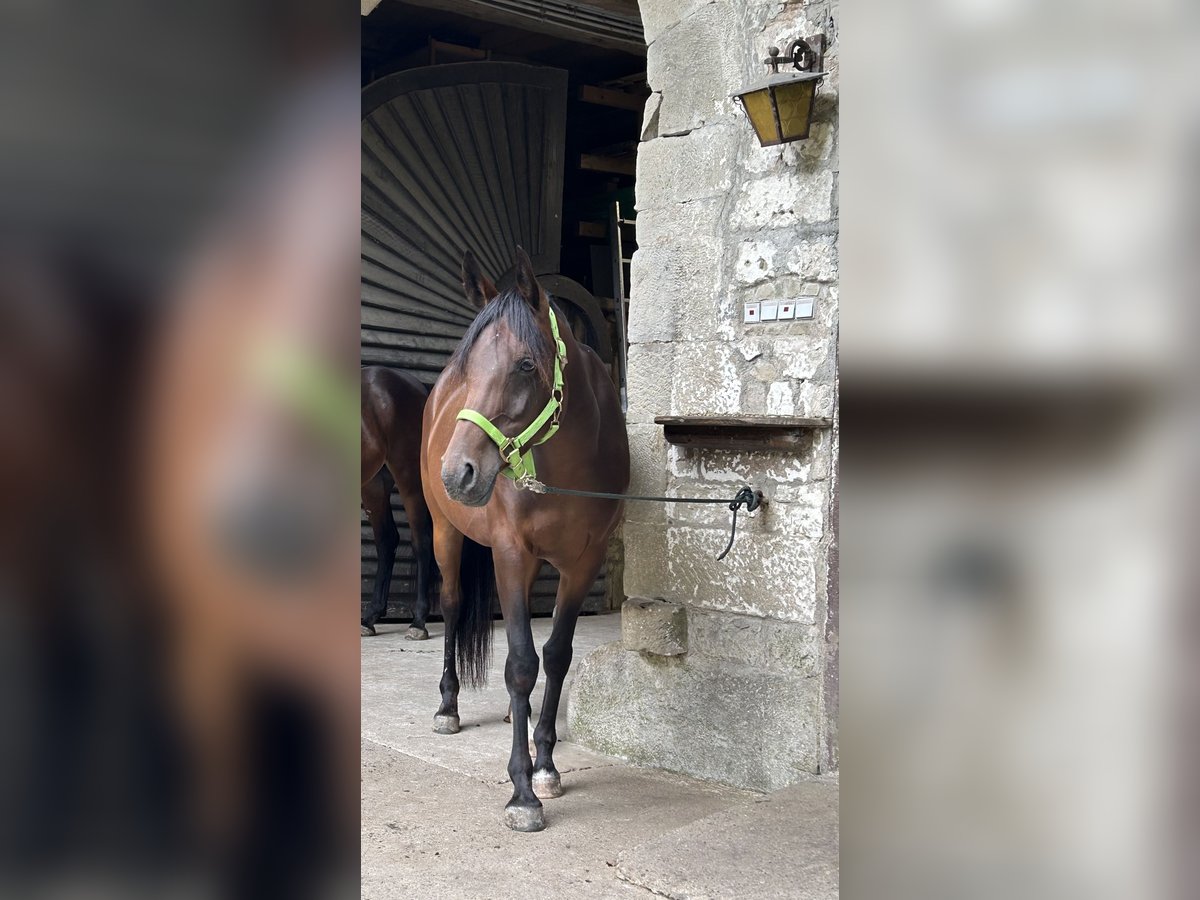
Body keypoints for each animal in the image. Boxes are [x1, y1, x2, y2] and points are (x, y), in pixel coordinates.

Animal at [360, 367, 436, 643]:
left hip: (410, 479)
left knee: (421, 541)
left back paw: (418, 622)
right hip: (373, 485)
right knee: (386, 540)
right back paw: (370, 618)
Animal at [420, 247, 628, 830]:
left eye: (526, 365)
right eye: (468, 367)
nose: (458, 473)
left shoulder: (582, 563)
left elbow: (554, 656)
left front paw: (546, 766)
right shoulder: (510, 555)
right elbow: (518, 665)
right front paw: (521, 792)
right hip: (446, 535)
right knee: (451, 606)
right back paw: (448, 708)